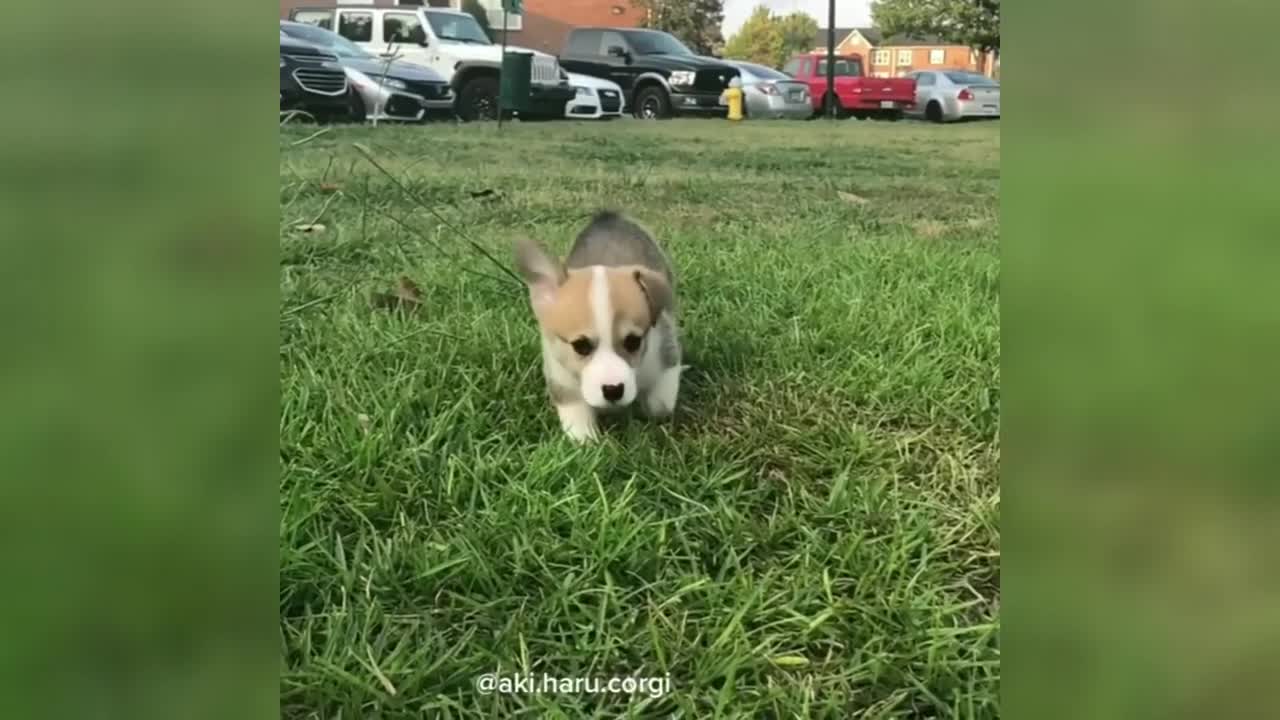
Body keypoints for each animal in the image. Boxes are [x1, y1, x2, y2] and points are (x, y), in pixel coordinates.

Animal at [514, 210, 686, 440]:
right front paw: (586, 441)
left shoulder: (664, 356)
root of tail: (608, 216)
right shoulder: (562, 380)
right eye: (580, 346)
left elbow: (660, 405)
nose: (613, 390)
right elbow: (578, 421)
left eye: (633, 342)